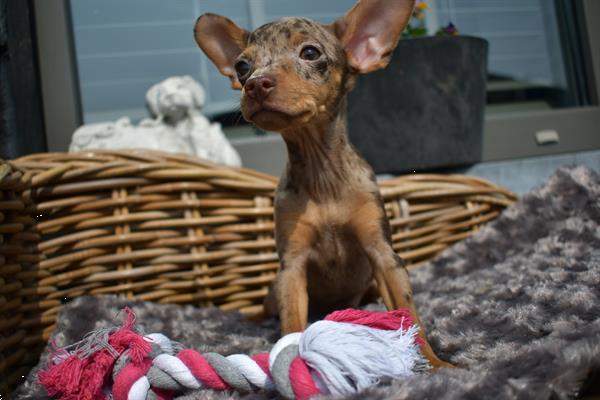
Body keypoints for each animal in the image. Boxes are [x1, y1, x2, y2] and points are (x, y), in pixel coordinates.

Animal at [195, 0, 452, 368]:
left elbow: (410, 317)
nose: (254, 84)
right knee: (268, 308)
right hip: (275, 287)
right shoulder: (292, 268)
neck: (322, 174)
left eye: (310, 52)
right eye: (242, 66)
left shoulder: (385, 257)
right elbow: (291, 324)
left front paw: (436, 364)